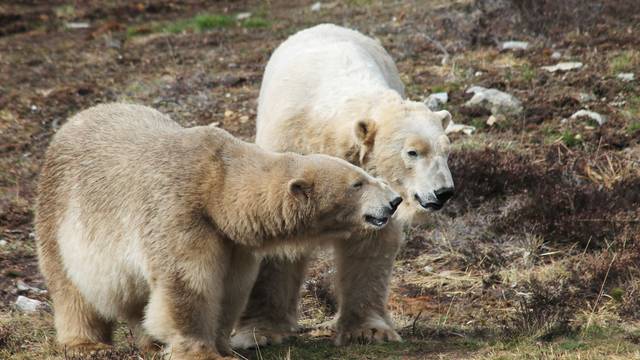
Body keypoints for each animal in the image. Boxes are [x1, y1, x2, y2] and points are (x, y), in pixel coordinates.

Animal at [35, 102, 400, 358]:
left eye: (363, 173)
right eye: (358, 183)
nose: (394, 200)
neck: (216, 186)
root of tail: (71, 122)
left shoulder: (231, 240)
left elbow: (229, 287)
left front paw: (225, 346)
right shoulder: (180, 213)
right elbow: (187, 281)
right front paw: (203, 352)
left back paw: (150, 343)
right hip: (60, 212)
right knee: (71, 288)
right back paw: (86, 344)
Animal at [235, 23, 456, 348]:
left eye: (446, 150)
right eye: (413, 152)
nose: (443, 192)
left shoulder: (371, 195)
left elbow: (369, 244)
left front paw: (369, 329)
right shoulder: (289, 149)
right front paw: (258, 331)